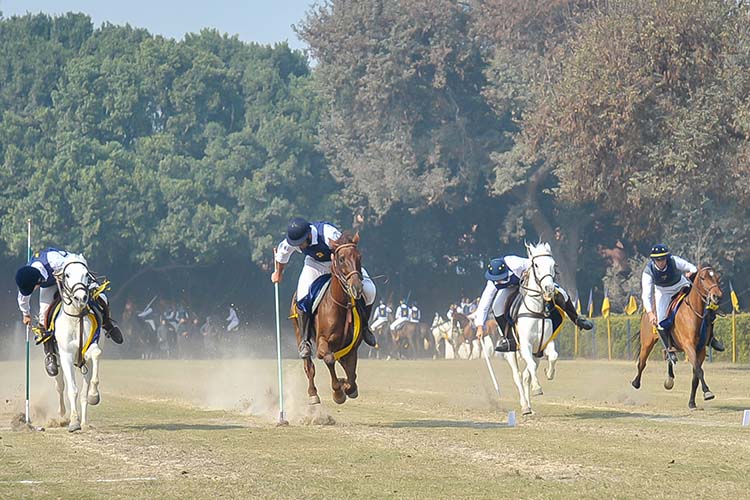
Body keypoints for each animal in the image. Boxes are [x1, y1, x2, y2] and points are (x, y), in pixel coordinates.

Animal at [52, 256, 103, 432]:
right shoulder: (66, 356)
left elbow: (96, 354)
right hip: (58, 362)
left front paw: (94, 395)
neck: (75, 317)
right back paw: (61, 415)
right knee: (60, 386)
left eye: (86, 274)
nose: (81, 298)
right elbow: (72, 390)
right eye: (67, 275)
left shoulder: (87, 351)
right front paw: (74, 422)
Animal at [290, 234, 366, 406]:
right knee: (309, 365)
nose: (357, 287)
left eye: (359, 257)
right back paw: (313, 394)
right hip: (299, 332)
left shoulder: (352, 346)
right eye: (341, 259)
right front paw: (338, 393)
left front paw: (347, 386)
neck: (340, 305)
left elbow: (351, 375)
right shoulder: (323, 342)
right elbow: (329, 358)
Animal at [506, 242, 564, 414]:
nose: (549, 288)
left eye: (553, 265)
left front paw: (550, 373)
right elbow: (529, 368)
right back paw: (525, 405)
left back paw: (529, 406)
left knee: (526, 375)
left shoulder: (544, 344)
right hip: (511, 352)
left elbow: (554, 356)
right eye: (536, 265)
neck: (536, 311)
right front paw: (537, 388)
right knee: (518, 375)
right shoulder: (525, 344)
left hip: (536, 353)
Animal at [632, 266, 724, 410]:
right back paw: (636, 382)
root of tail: (648, 311)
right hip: (647, 342)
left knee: (667, 353)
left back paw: (670, 374)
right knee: (642, 363)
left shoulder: (700, 349)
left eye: (717, 277)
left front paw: (692, 402)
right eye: (703, 278)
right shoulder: (689, 346)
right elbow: (699, 370)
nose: (717, 296)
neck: (694, 312)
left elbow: (696, 375)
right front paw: (707, 392)